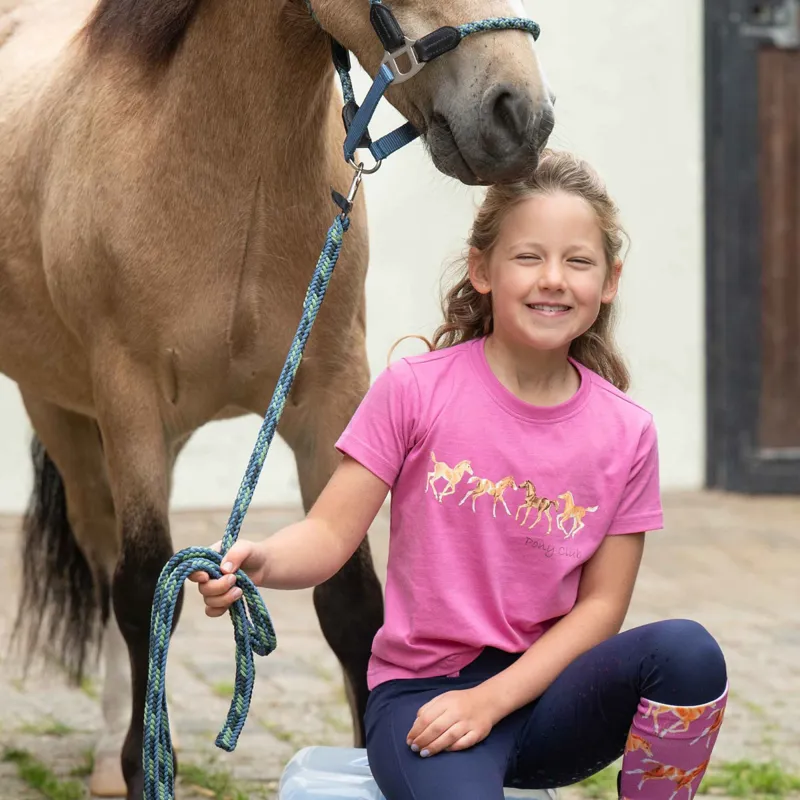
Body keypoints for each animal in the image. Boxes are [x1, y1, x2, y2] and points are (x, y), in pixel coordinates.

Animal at [0, 0, 554, 795]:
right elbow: (143, 591)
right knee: (107, 561)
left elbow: (351, 604)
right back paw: (107, 757)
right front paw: (140, 765)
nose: (519, 118)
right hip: (67, 417)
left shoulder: (329, 399)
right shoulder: (128, 401)